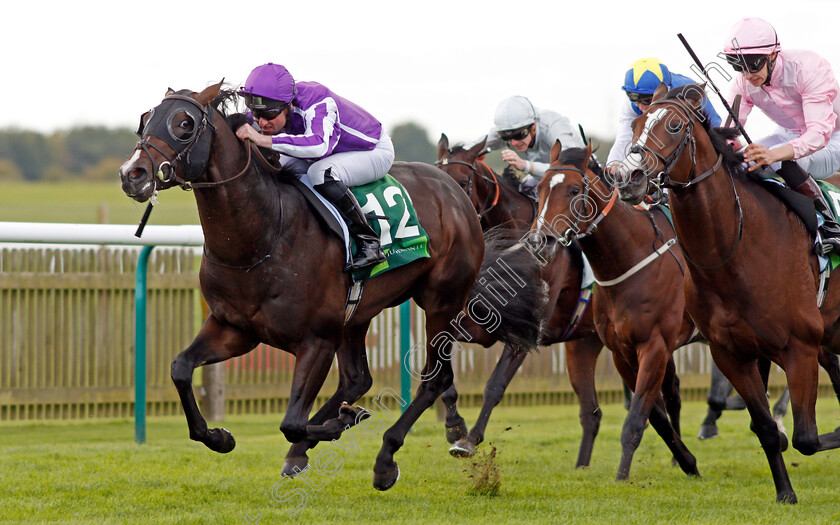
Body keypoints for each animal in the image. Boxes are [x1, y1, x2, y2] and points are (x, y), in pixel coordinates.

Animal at [120, 82, 486, 492]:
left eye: (184, 124)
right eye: (145, 119)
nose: (131, 173)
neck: (262, 237)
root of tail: (455, 191)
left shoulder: (316, 340)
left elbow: (292, 422)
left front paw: (345, 422)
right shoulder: (234, 328)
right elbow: (181, 368)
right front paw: (219, 436)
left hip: (442, 300)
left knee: (434, 378)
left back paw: (386, 457)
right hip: (356, 314)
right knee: (358, 378)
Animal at [436, 132, 620, 466]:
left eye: (463, 181)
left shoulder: (524, 332)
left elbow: (495, 384)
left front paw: (468, 440)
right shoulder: (473, 323)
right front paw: (454, 426)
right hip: (586, 342)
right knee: (594, 412)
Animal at [532, 139, 704, 478]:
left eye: (574, 190)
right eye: (539, 189)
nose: (541, 241)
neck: (630, 258)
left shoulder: (654, 345)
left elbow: (637, 417)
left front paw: (622, 476)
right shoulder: (621, 351)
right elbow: (654, 415)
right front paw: (688, 461)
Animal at [612, 81, 840, 500]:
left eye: (673, 125)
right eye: (635, 124)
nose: (628, 177)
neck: (734, 251)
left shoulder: (800, 345)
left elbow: (807, 438)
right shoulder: (732, 353)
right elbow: (767, 430)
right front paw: (785, 494)